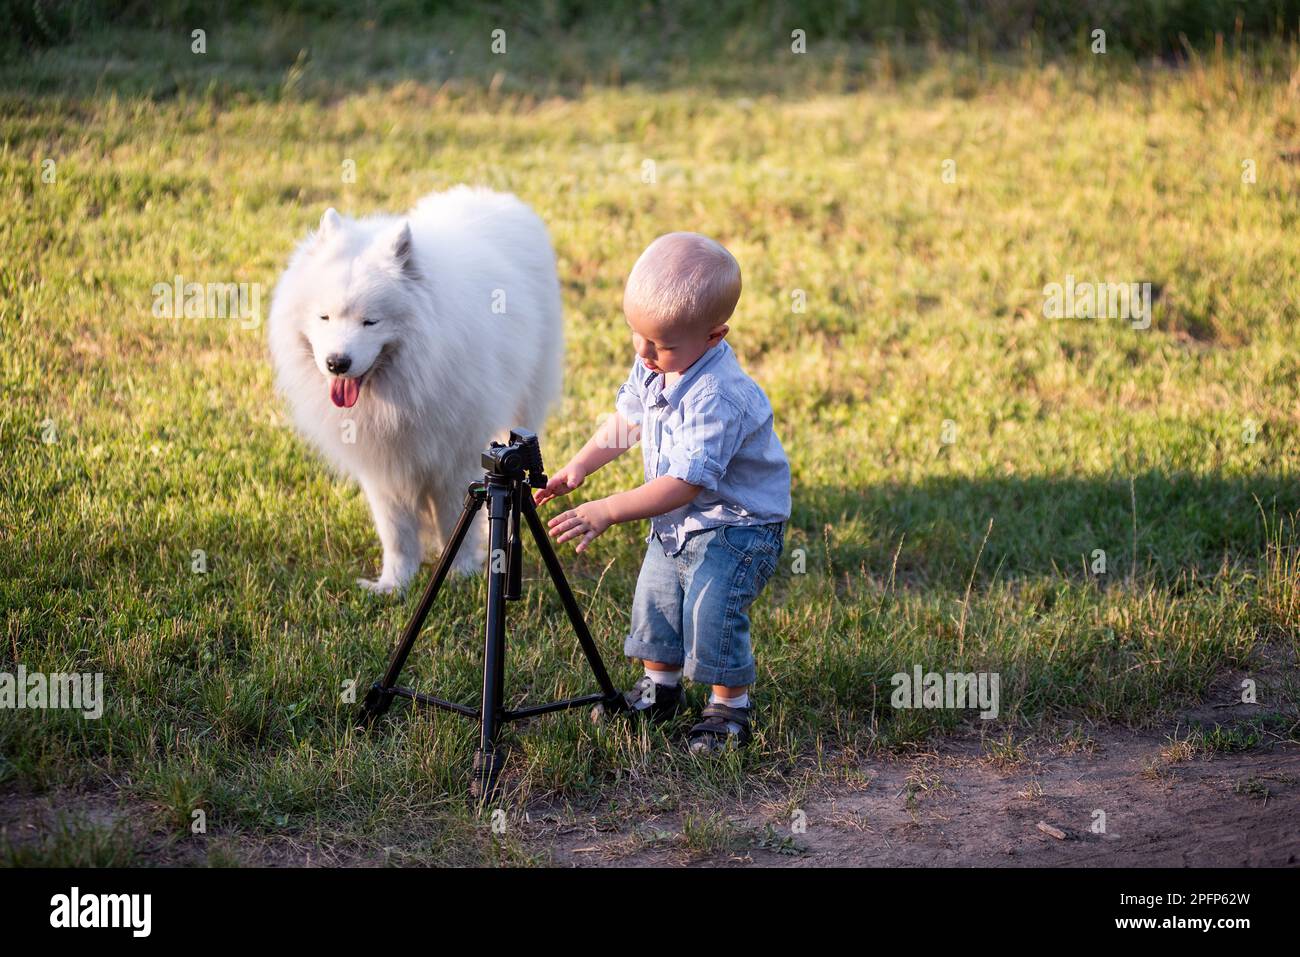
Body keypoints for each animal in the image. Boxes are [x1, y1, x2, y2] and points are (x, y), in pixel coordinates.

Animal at [266, 185, 561, 590]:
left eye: (370, 322)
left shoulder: (455, 457)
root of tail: (496, 196)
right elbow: (396, 531)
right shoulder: (383, 465)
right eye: (324, 317)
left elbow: (453, 520)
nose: (337, 363)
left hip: (526, 402)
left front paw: (459, 574)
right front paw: (394, 585)